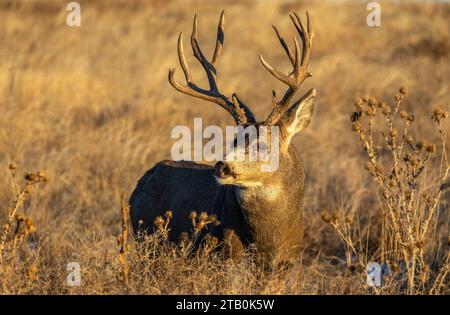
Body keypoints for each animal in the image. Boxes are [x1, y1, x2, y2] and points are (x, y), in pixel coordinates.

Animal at [128, 10, 314, 266]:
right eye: (234, 140)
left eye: (264, 145)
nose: (222, 167)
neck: (271, 242)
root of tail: (141, 182)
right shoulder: (225, 256)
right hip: (145, 239)